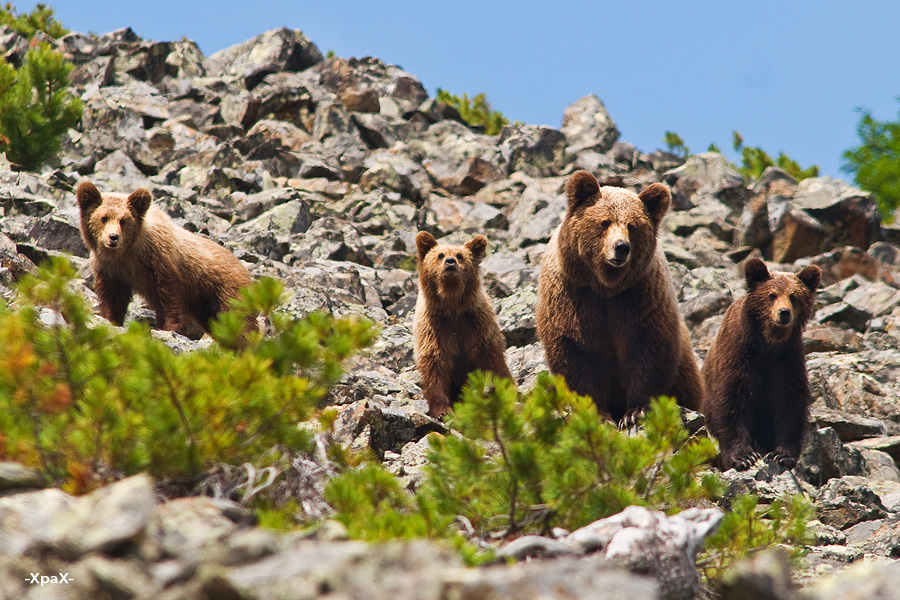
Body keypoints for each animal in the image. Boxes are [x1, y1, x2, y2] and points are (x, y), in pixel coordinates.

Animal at [76, 180, 251, 336]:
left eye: (123, 220)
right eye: (104, 218)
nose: (113, 237)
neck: (128, 252)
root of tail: (245, 271)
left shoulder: (159, 260)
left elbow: (170, 294)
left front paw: (168, 327)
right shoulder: (111, 269)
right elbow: (112, 297)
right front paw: (109, 319)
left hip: (226, 293)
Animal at [412, 230, 510, 418]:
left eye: (460, 255)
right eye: (440, 255)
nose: (450, 262)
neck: (452, 307)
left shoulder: (476, 324)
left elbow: (492, 360)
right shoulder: (436, 328)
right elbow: (435, 364)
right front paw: (442, 410)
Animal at [536, 169, 704, 422]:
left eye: (632, 226)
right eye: (604, 222)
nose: (621, 247)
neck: (605, 285)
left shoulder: (639, 297)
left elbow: (647, 348)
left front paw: (635, 411)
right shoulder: (573, 297)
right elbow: (575, 353)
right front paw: (598, 413)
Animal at [704, 260, 824, 472]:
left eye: (794, 296)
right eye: (771, 295)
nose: (784, 313)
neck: (768, 342)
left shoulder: (786, 360)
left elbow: (789, 402)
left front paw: (782, 455)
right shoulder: (739, 356)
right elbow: (732, 400)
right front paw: (743, 457)